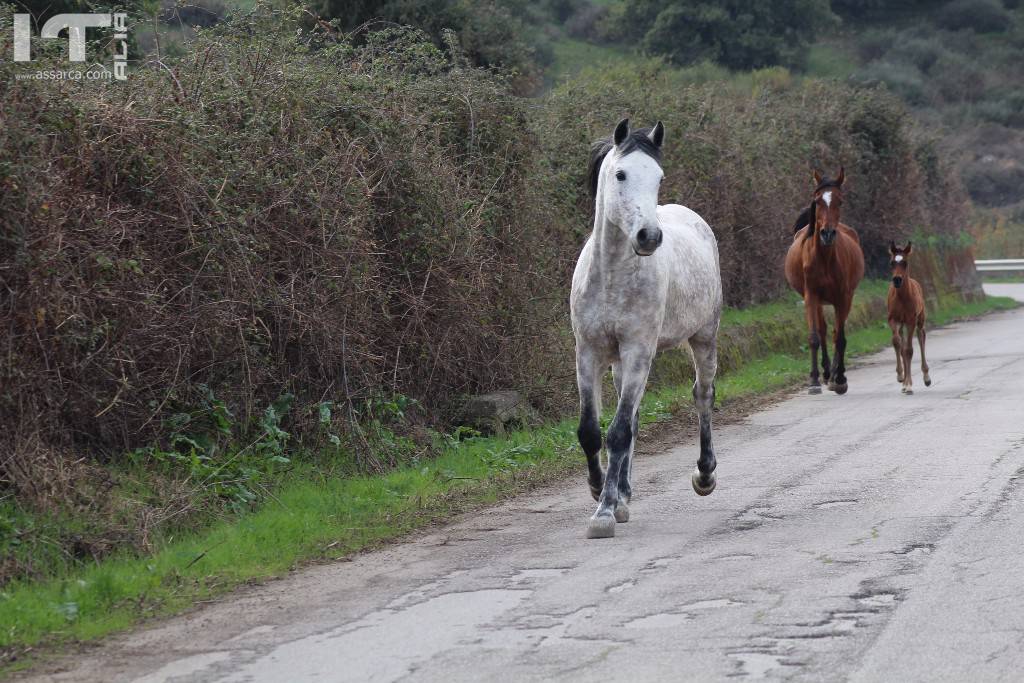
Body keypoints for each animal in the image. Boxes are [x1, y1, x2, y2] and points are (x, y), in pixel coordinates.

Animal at [884, 242, 933, 395]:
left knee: (921, 337)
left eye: (905, 263)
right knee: (901, 344)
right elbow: (897, 344)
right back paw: (904, 383)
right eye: (891, 263)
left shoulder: (911, 321)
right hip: (901, 325)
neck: (902, 298)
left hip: (919, 320)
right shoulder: (893, 320)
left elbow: (909, 350)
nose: (897, 280)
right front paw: (901, 377)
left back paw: (926, 377)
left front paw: (909, 384)